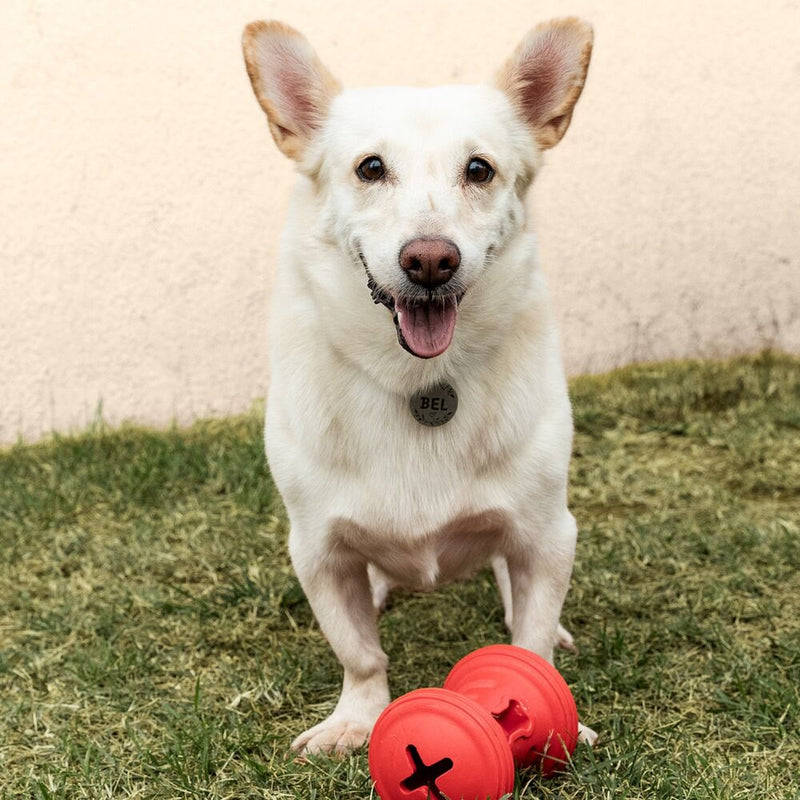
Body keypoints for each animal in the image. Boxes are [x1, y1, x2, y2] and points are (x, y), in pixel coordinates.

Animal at [242, 18, 592, 756]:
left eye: (479, 170)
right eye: (370, 168)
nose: (430, 260)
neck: (419, 381)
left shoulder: (548, 534)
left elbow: (532, 643)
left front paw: (555, 712)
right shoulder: (316, 552)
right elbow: (359, 652)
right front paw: (356, 719)